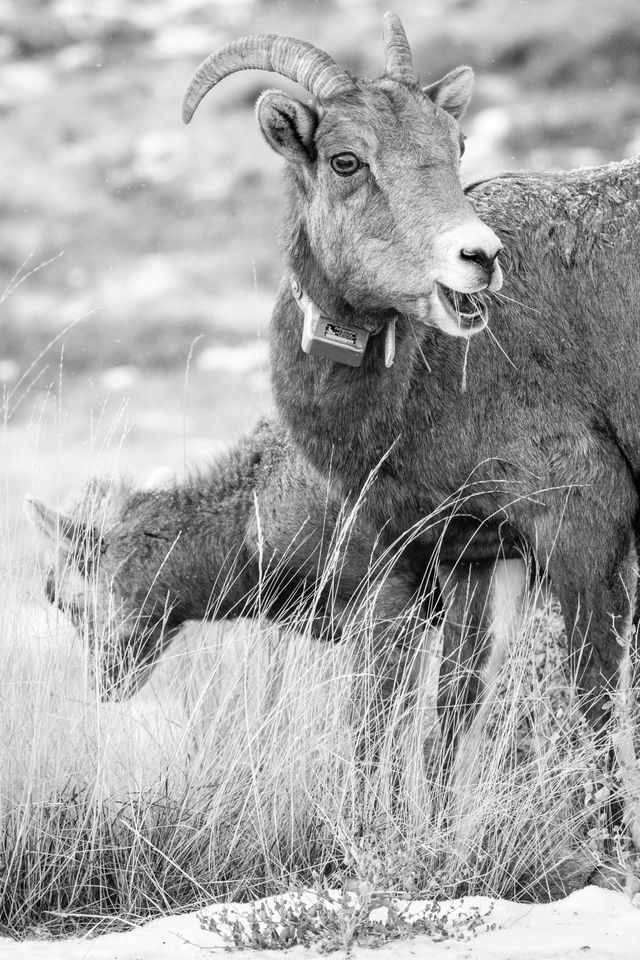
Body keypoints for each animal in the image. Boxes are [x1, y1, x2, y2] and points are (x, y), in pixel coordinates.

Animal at [182, 9, 640, 756]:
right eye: (346, 160)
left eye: (457, 145)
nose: (479, 258)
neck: (418, 391)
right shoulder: (463, 559)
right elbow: (440, 718)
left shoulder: (583, 527)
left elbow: (592, 708)